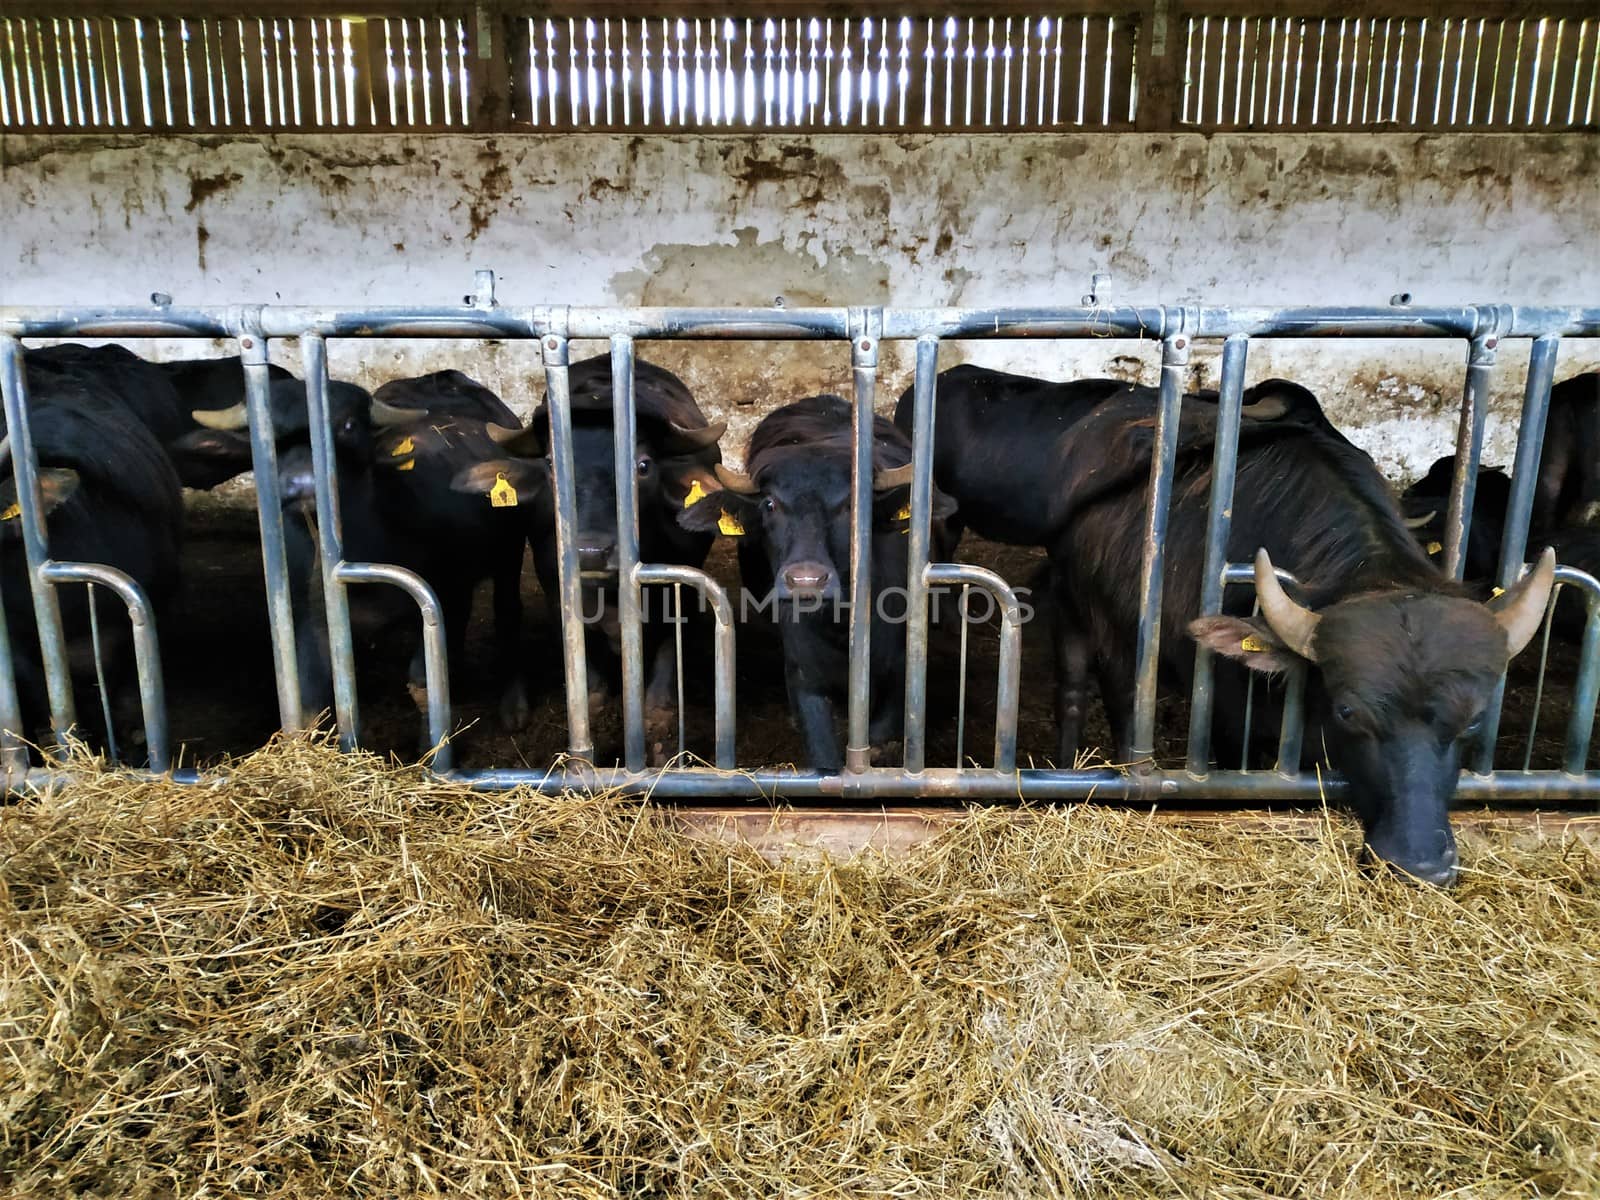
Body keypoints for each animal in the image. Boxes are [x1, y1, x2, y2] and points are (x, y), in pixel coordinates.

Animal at [675, 395, 947, 771]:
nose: (806, 581)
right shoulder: (804, 677)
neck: (838, 626)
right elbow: (822, 752)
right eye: (770, 504)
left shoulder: (899, 672)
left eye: (851, 505)